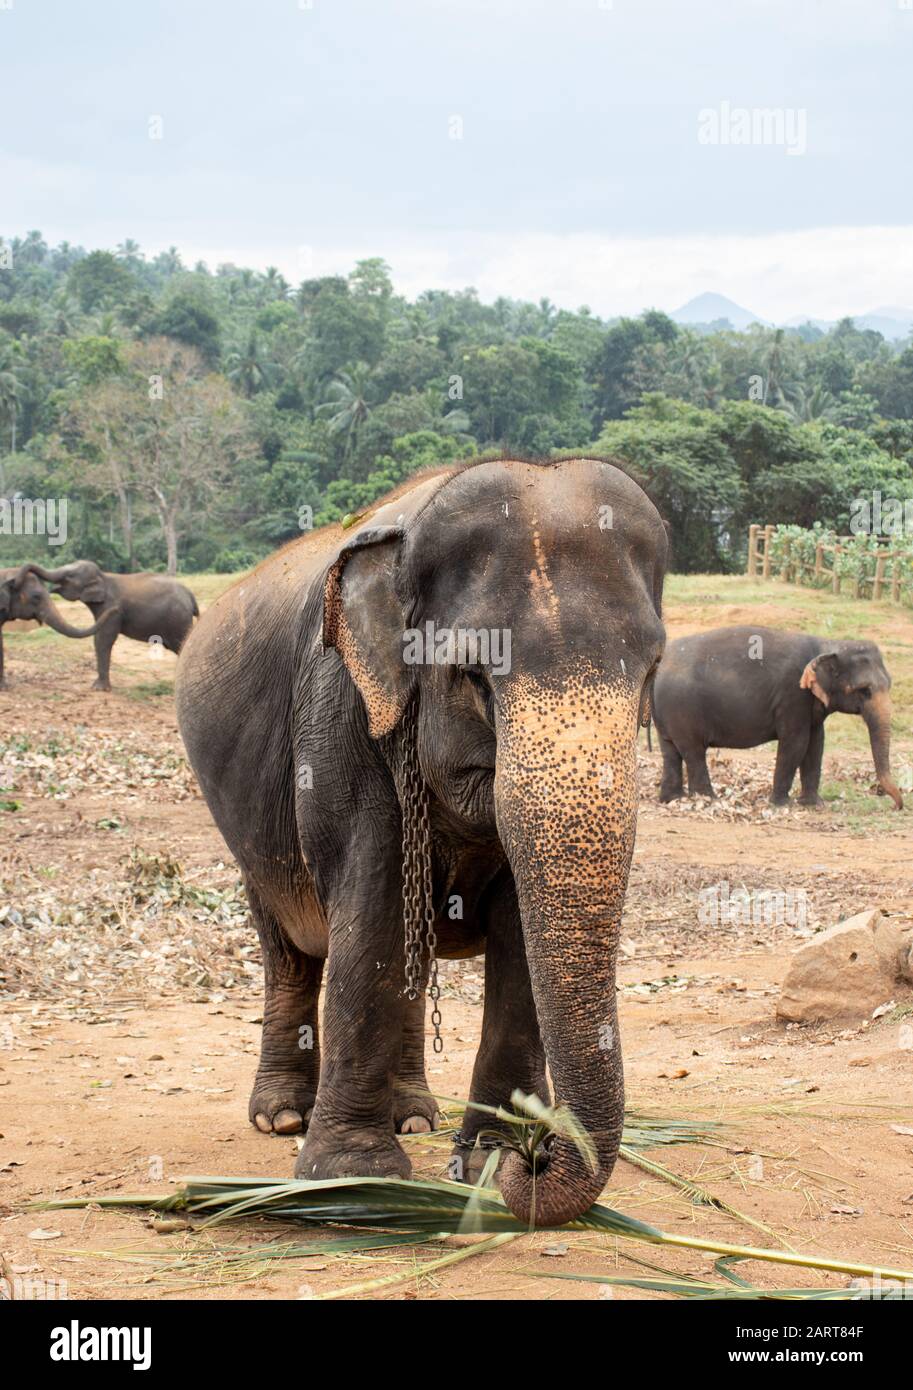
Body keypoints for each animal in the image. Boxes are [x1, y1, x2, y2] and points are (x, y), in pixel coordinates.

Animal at [23, 558, 198, 689]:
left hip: (178, 621)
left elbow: (103, 639)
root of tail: (190, 595)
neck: (103, 576)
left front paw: (99, 689)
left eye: (70, 575)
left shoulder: (111, 608)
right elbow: (98, 638)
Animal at [176, 458, 661, 1228]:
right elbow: (370, 903)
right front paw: (351, 1180)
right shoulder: (337, 709)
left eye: (651, 671)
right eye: (472, 675)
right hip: (243, 828)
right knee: (288, 951)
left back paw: (414, 1117)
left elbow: (516, 933)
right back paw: (281, 1118)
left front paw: (488, 1158)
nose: (537, 1157)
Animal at [650, 625, 900, 811]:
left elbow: (816, 744)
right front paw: (782, 804)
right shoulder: (793, 695)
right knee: (694, 752)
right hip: (683, 710)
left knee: (671, 751)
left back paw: (673, 799)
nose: (897, 806)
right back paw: (708, 800)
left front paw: (813, 805)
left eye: (889, 684)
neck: (829, 644)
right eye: (864, 690)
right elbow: (795, 743)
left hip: (667, 715)